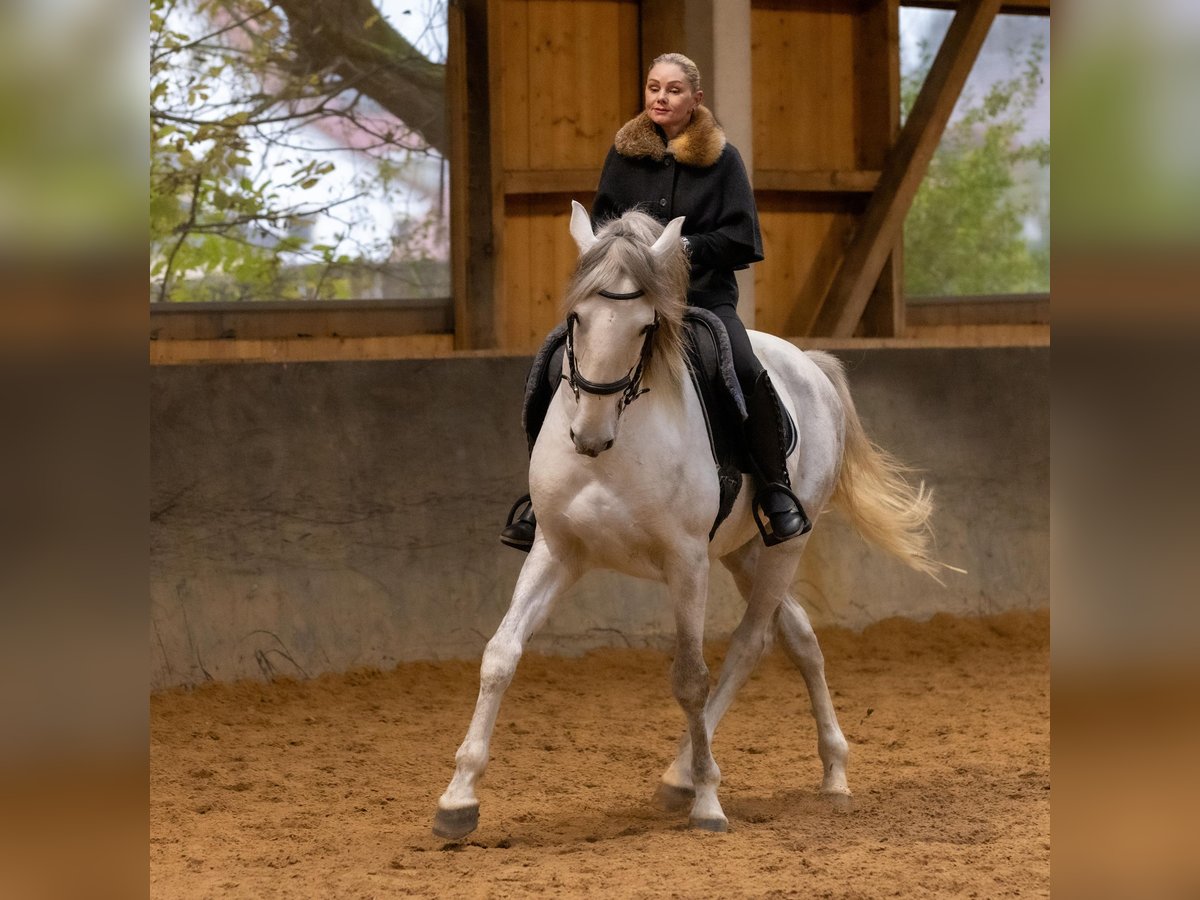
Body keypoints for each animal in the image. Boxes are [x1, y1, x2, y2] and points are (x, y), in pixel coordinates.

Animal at [432, 202, 936, 840]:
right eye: (576, 318)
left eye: (646, 327)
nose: (589, 435)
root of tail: (809, 363)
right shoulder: (557, 550)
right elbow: (501, 654)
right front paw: (458, 798)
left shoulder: (687, 561)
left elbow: (691, 676)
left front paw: (708, 802)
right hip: (744, 551)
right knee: (798, 635)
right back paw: (832, 772)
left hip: (782, 547)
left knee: (750, 642)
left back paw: (689, 779)